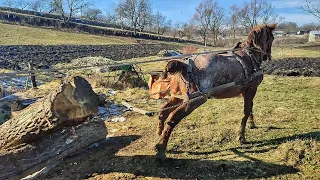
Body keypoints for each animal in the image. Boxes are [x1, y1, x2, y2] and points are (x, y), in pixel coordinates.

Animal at [149, 23, 276, 159]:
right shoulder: (251, 89)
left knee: (163, 112)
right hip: (195, 99)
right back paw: (161, 146)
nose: (268, 56)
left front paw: (252, 124)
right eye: (272, 38)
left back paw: (158, 136)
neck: (250, 56)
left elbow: (250, 109)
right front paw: (241, 136)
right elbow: (246, 112)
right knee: (173, 117)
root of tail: (183, 64)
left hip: (177, 97)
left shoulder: (246, 92)